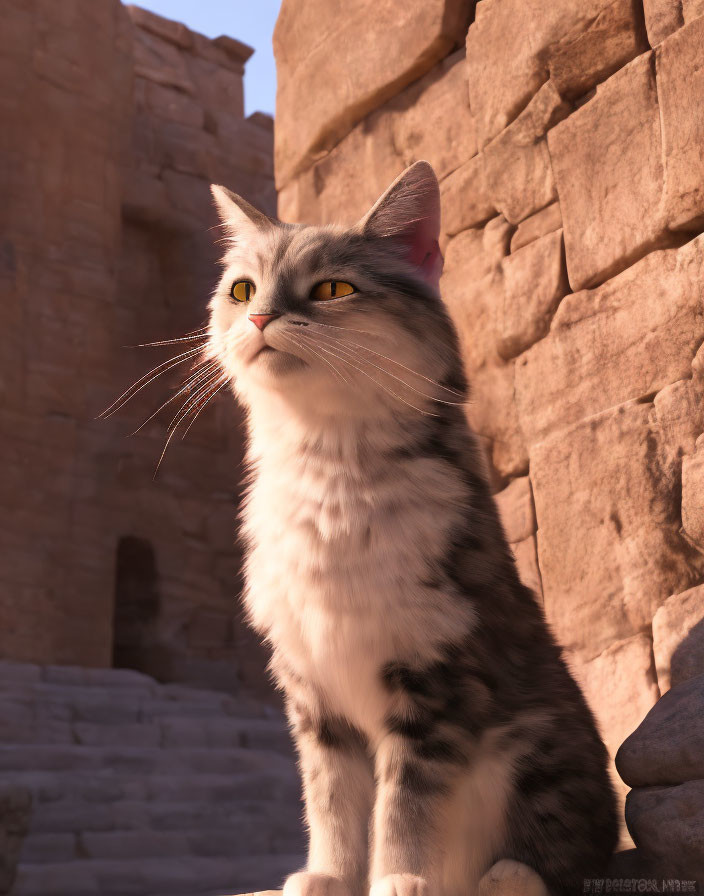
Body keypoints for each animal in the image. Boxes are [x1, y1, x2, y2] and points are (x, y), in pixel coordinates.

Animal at [206, 161, 620, 896]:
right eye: (242, 289)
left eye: (333, 288)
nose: (259, 317)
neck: (327, 469)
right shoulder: (313, 692)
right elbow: (333, 801)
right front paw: (328, 877)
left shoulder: (435, 678)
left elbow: (404, 807)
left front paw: (398, 879)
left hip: (542, 744)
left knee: (564, 853)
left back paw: (505, 877)